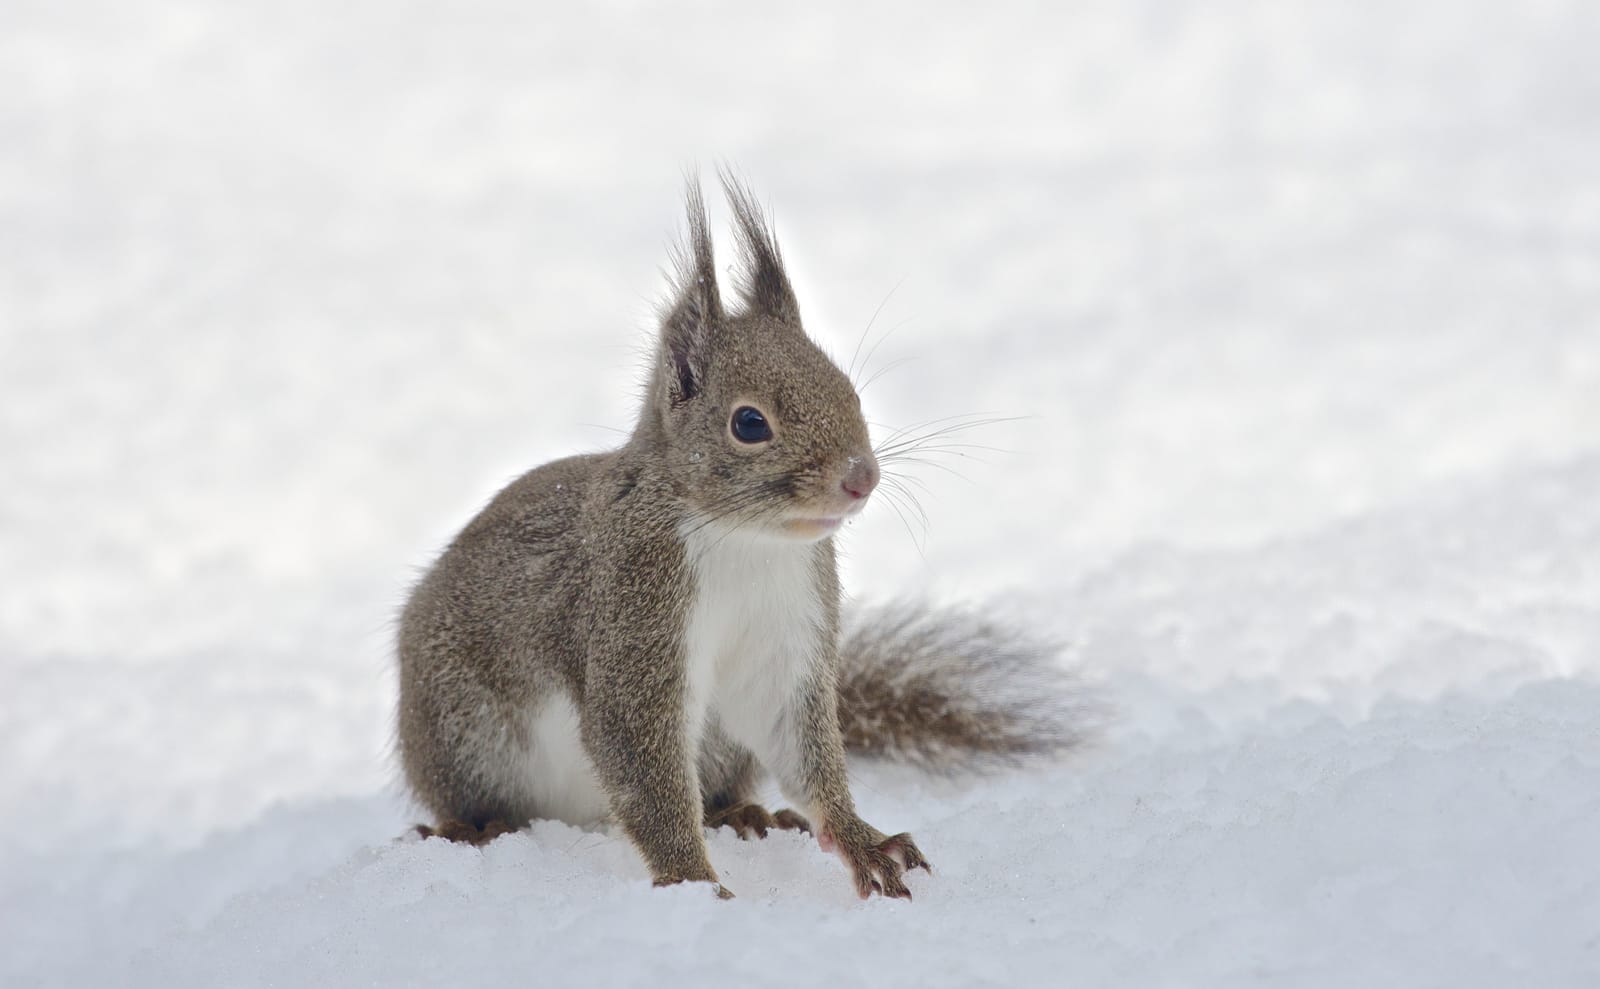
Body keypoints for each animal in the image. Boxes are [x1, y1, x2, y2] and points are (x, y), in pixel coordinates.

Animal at [393, 173, 1081, 896]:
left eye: (849, 390)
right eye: (750, 424)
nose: (861, 477)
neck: (746, 540)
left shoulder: (788, 630)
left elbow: (797, 743)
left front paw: (862, 840)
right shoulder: (632, 612)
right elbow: (641, 762)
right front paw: (694, 882)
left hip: (719, 741)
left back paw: (745, 815)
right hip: (463, 729)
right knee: (473, 798)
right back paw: (471, 830)